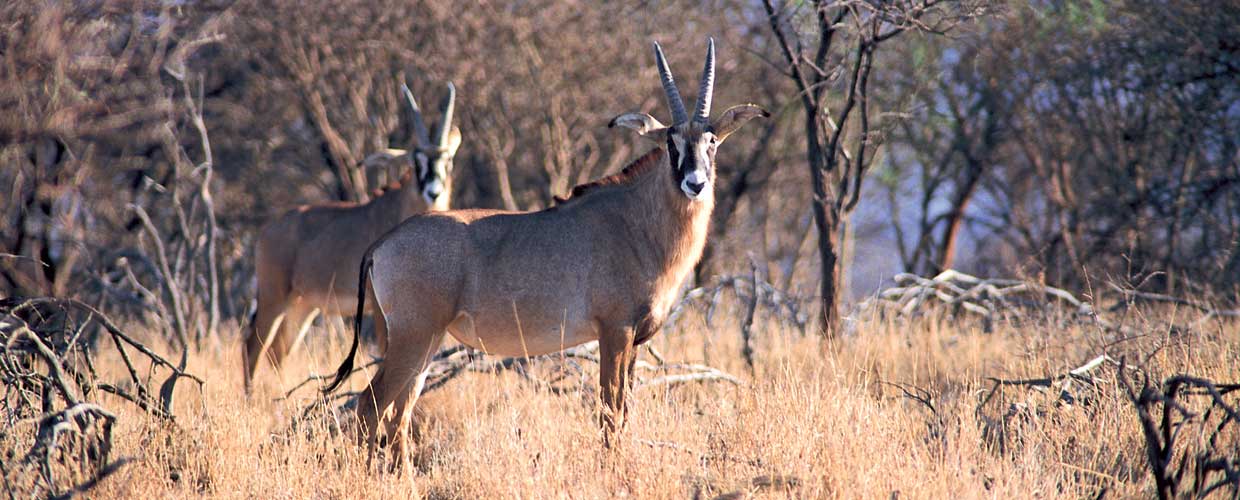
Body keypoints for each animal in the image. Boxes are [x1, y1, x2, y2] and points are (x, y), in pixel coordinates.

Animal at [240, 81, 461, 392]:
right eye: (415, 160)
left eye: (448, 159)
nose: (434, 191)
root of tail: (267, 231)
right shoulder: (380, 311)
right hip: (275, 297)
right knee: (252, 348)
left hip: (302, 306)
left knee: (277, 353)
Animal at [319, 40, 763, 461]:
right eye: (671, 142)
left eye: (711, 141)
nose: (695, 183)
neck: (637, 222)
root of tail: (383, 243)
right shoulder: (615, 332)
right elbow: (610, 413)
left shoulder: (634, 341)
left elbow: (623, 414)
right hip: (414, 336)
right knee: (370, 406)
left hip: (423, 341)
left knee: (399, 414)